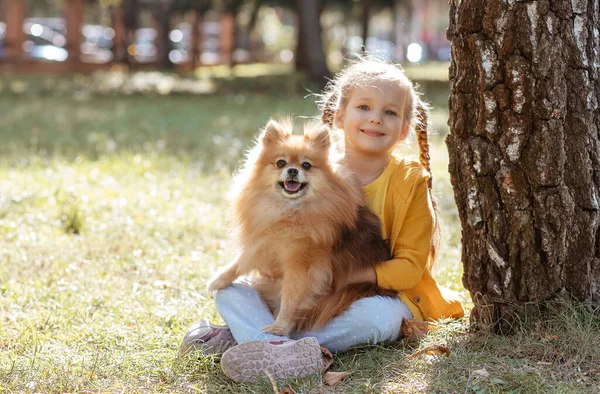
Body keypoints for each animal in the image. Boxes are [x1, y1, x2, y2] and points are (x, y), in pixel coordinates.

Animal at [207, 117, 398, 336]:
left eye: (306, 165)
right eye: (281, 162)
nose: (292, 170)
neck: (290, 212)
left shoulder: (301, 265)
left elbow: (291, 298)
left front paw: (279, 326)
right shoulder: (263, 241)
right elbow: (241, 260)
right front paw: (220, 278)